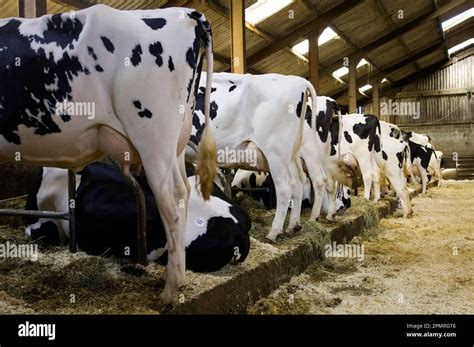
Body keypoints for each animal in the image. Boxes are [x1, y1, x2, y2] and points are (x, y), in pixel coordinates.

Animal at [0, 4, 217, 304]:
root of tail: (186, 13)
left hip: (154, 138)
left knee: (171, 204)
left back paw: (170, 290)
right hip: (176, 142)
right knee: (182, 193)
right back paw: (178, 277)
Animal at [187, 72, 316, 242]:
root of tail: (299, 80)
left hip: (275, 151)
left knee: (285, 187)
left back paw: (274, 232)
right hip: (291, 154)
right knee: (299, 182)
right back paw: (293, 226)